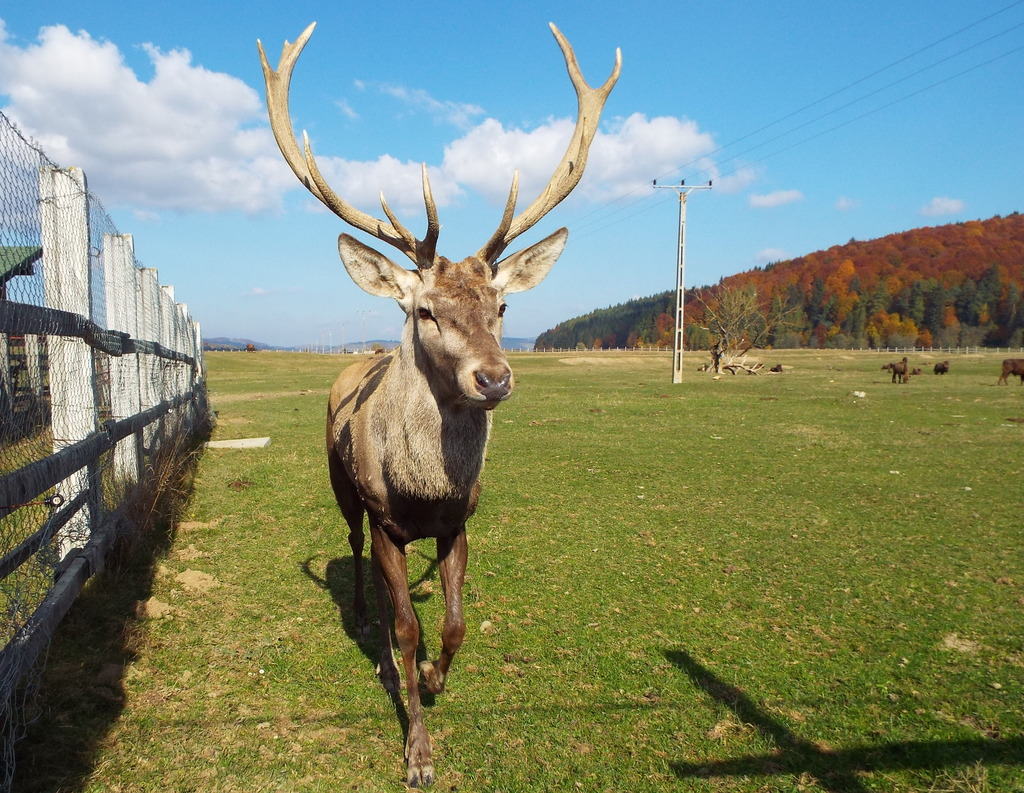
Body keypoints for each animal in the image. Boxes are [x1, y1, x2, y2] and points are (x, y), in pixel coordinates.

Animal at [260, 21, 618, 786]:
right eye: (425, 309)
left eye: (502, 305)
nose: (494, 378)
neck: (423, 492)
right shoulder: (390, 521)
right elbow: (407, 624)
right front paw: (417, 751)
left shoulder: (461, 522)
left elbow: (451, 624)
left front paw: (431, 676)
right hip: (340, 485)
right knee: (354, 551)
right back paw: (365, 620)